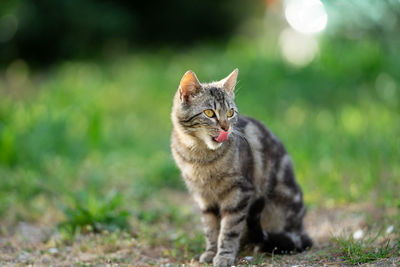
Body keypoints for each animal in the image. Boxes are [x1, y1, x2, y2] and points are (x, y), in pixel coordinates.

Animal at [170, 69, 310, 267]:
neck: (201, 157)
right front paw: (211, 252)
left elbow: (229, 229)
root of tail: (301, 228)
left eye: (230, 112)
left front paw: (224, 255)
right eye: (209, 113)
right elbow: (211, 229)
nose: (226, 127)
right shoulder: (204, 198)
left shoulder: (239, 192)